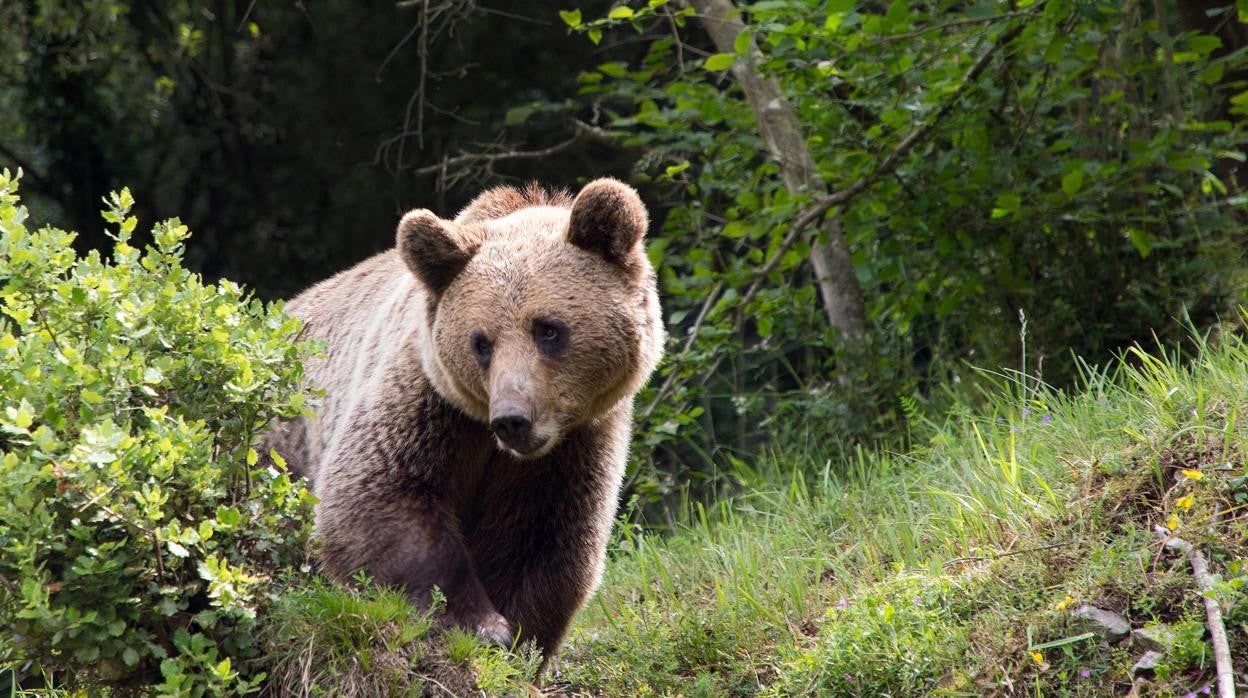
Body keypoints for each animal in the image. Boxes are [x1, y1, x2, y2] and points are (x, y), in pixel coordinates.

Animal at [260, 178, 663, 659]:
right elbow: (379, 496)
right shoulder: (428, 402)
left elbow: (543, 538)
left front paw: (518, 636)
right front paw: (479, 623)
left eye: (548, 329)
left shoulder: (574, 445)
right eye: (481, 342)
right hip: (281, 445)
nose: (512, 419)